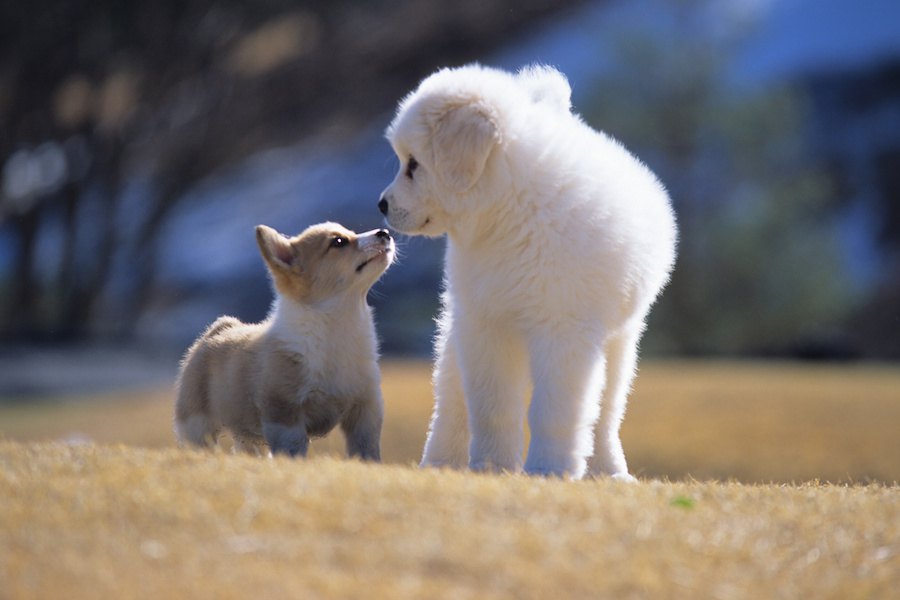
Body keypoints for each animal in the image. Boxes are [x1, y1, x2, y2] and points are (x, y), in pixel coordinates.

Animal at [176, 220, 394, 460]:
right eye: (338, 242)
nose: (384, 233)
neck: (335, 325)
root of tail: (217, 330)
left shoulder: (365, 409)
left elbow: (366, 449)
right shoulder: (284, 413)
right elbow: (293, 448)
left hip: (247, 435)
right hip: (197, 424)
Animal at [378, 63, 676, 480]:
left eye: (414, 164)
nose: (382, 205)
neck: (511, 210)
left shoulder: (562, 331)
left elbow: (553, 411)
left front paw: (548, 469)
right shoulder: (487, 326)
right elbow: (492, 405)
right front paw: (491, 466)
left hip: (621, 342)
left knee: (606, 414)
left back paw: (610, 470)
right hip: (457, 335)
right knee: (451, 404)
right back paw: (440, 463)